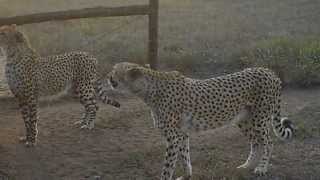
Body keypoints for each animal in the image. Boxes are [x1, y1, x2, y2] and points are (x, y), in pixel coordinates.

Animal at [107, 62, 292, 180]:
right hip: (244, 119)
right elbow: (185, 157)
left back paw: (261, 168)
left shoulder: (172, 137)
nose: (108, 77)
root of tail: (268, 71)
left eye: (115, 70)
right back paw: (246, 166)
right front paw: (187, 176)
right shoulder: (181, 134)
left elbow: (168, 167)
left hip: (260, 119)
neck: (147, 89)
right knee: (255, 142)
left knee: (268, 142)